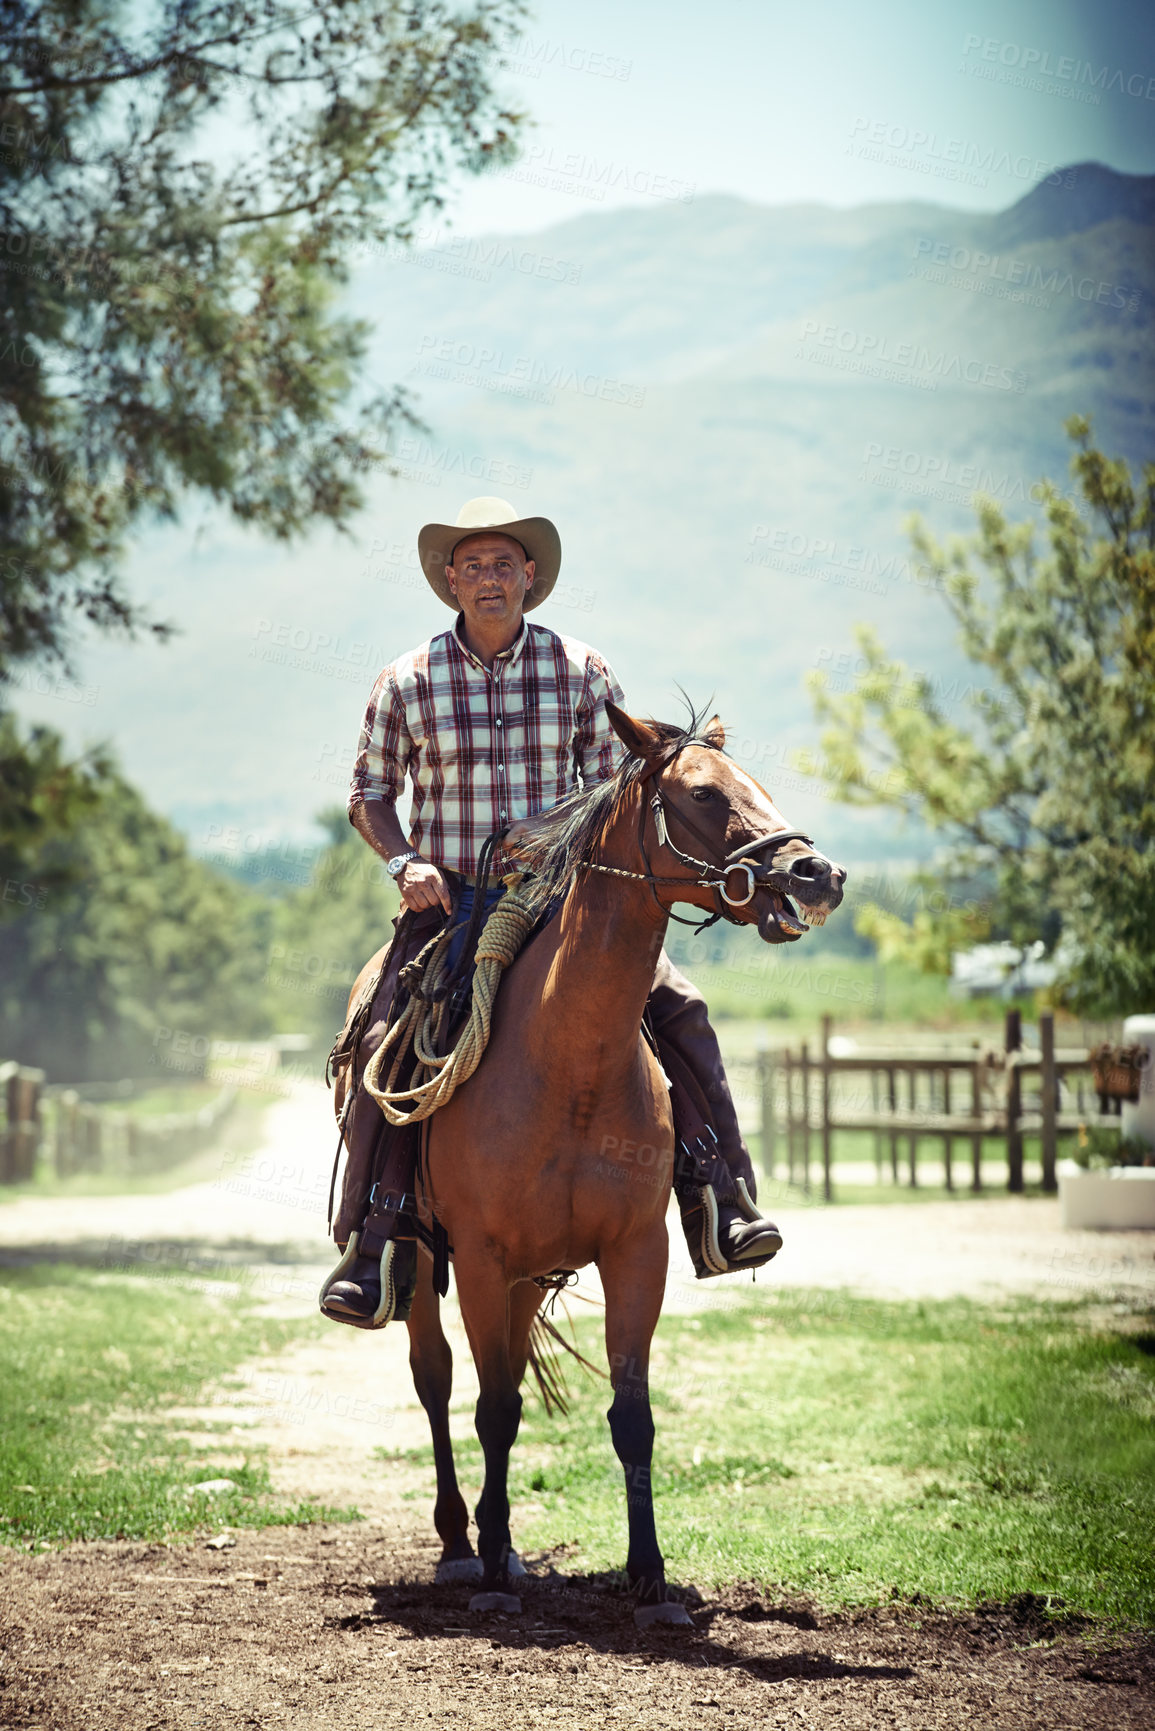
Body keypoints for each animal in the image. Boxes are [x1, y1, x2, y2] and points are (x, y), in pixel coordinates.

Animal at [339, 702, 845, 1620]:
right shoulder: (481, 1255)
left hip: (521, 1274)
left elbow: (627, 1414)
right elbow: (491, 1410)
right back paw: (463, 1545)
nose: (816, 873)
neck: (567, 1059)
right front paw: (493, 1574)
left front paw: (649, 1579)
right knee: (436, 1378)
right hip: (425, 1258)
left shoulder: (634, 1250)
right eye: (702, 794)